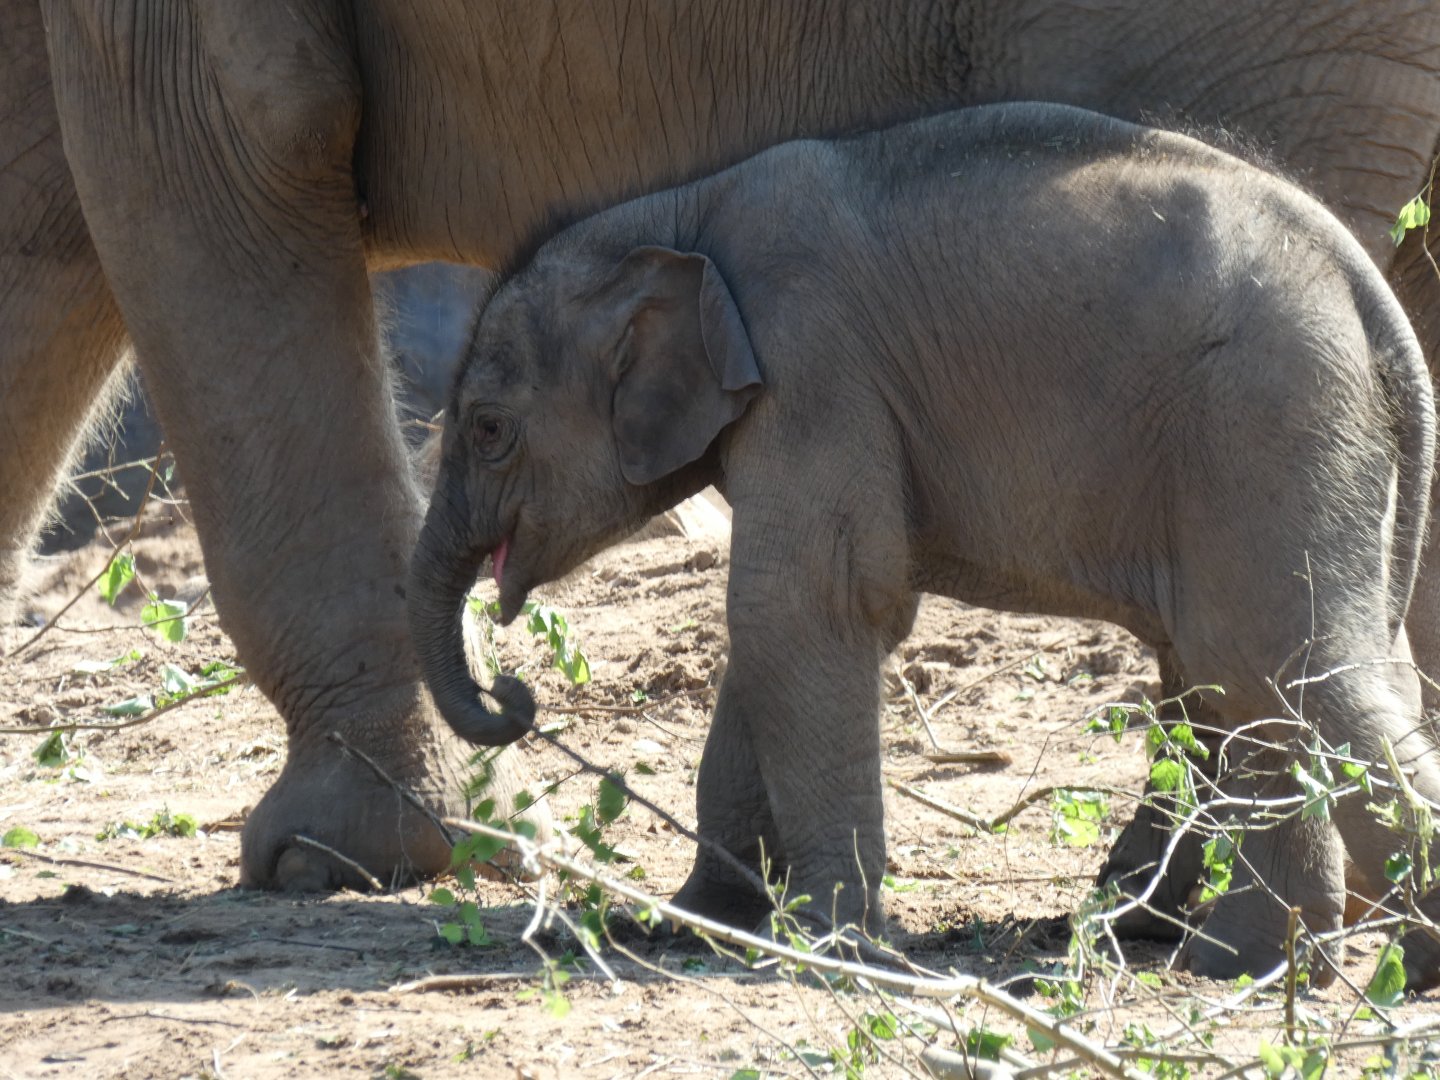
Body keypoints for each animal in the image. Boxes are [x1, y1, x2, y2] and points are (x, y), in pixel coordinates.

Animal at [410, 102, 1440, 985]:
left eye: (489, 429)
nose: (514, 694)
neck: (679, 213)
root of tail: (1370, 296)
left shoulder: (814, 366)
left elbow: (804, 604)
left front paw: (831, 946)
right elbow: (786, 622)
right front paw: (694, 924)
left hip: (1263, 421)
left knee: (1270, 659)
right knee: (1285, 671)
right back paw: (1256, 963)